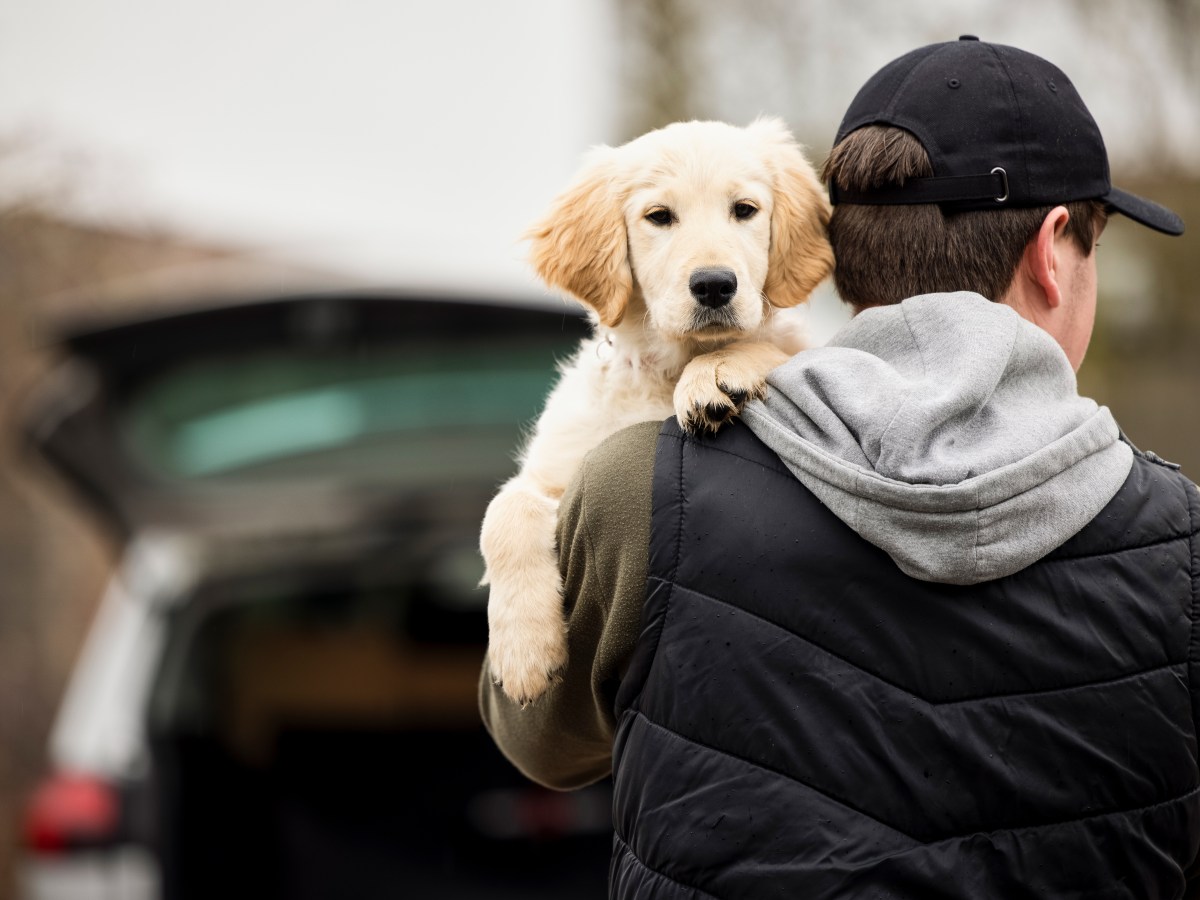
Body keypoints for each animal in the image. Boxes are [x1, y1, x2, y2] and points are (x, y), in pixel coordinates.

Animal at [482, 118, 830, 705]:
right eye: (659, 217)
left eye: (744, 210)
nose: (714, 284)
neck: (667, 368)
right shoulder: (555, 469)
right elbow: (502, 512)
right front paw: (524, 652)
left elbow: (774, 347)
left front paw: (718, 371)